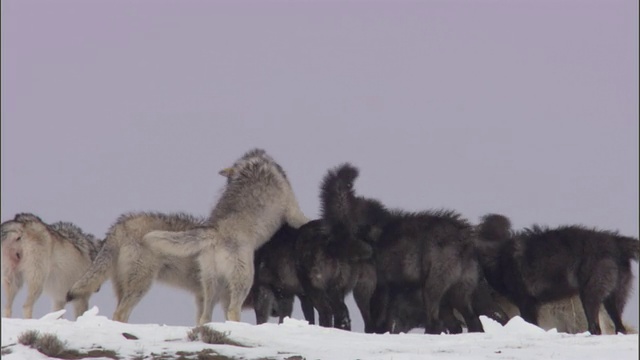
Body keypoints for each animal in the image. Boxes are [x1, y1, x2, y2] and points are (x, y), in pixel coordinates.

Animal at [142, 149, 310, 326]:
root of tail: (214, 232)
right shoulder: (292, 210)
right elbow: (305, 219)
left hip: (212, 285)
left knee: (205, 316)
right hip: (243, 280)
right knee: (232, 311)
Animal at [478, 214, 636, 334]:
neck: (498, 258)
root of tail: (617, 242)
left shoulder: (527, 304)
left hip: (589, 299)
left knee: (596, 329)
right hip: (612, 302)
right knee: (620, 329)